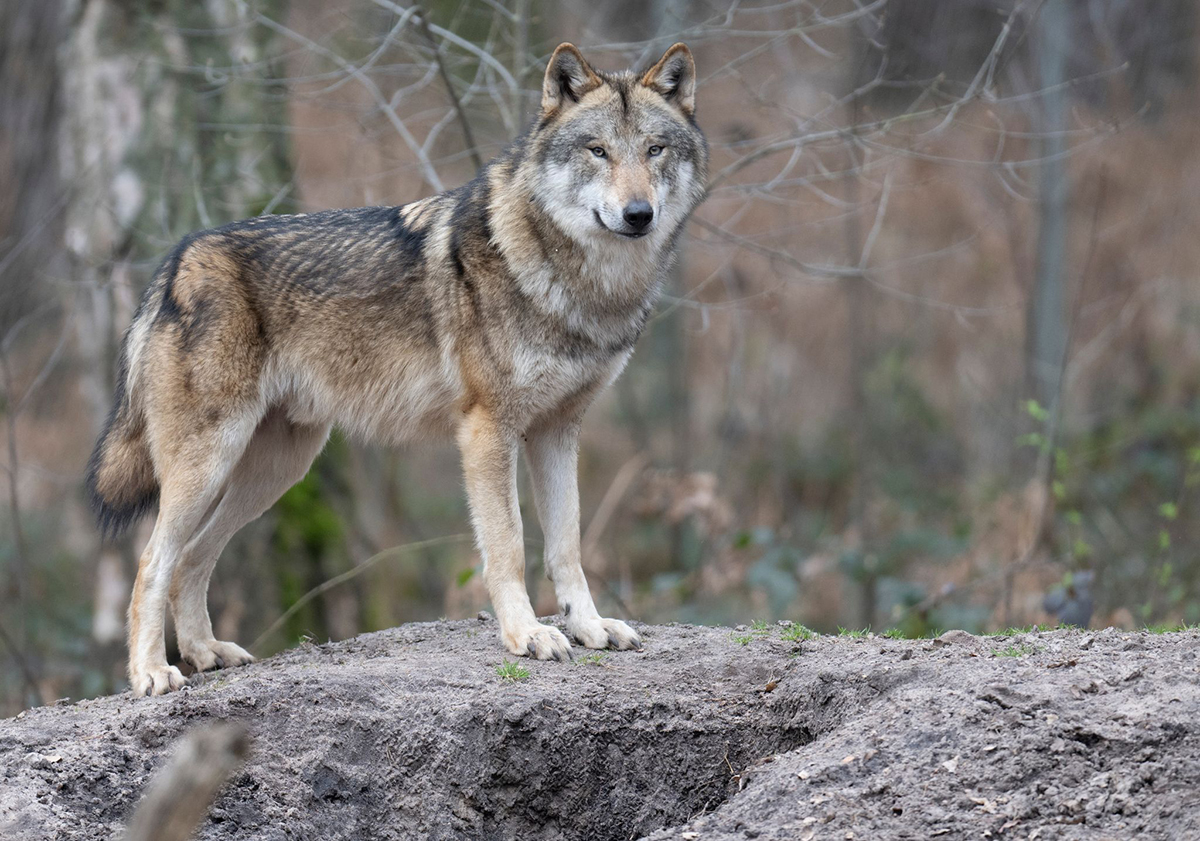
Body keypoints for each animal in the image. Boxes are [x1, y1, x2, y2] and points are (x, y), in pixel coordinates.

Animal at [88, 41, 705, 695]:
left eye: (654, 150)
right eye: (597, 150)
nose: (638, 214)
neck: (580, 286)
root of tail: (175, 261)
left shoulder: (558, 432)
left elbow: (567, 546)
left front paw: (588, 627)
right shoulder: (488, 430)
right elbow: (509, 546)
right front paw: (527, 635)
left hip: (275, 472)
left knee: (192, 559)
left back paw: (207, 653)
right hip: (211, 464)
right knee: (152, 562)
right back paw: (151, 673)